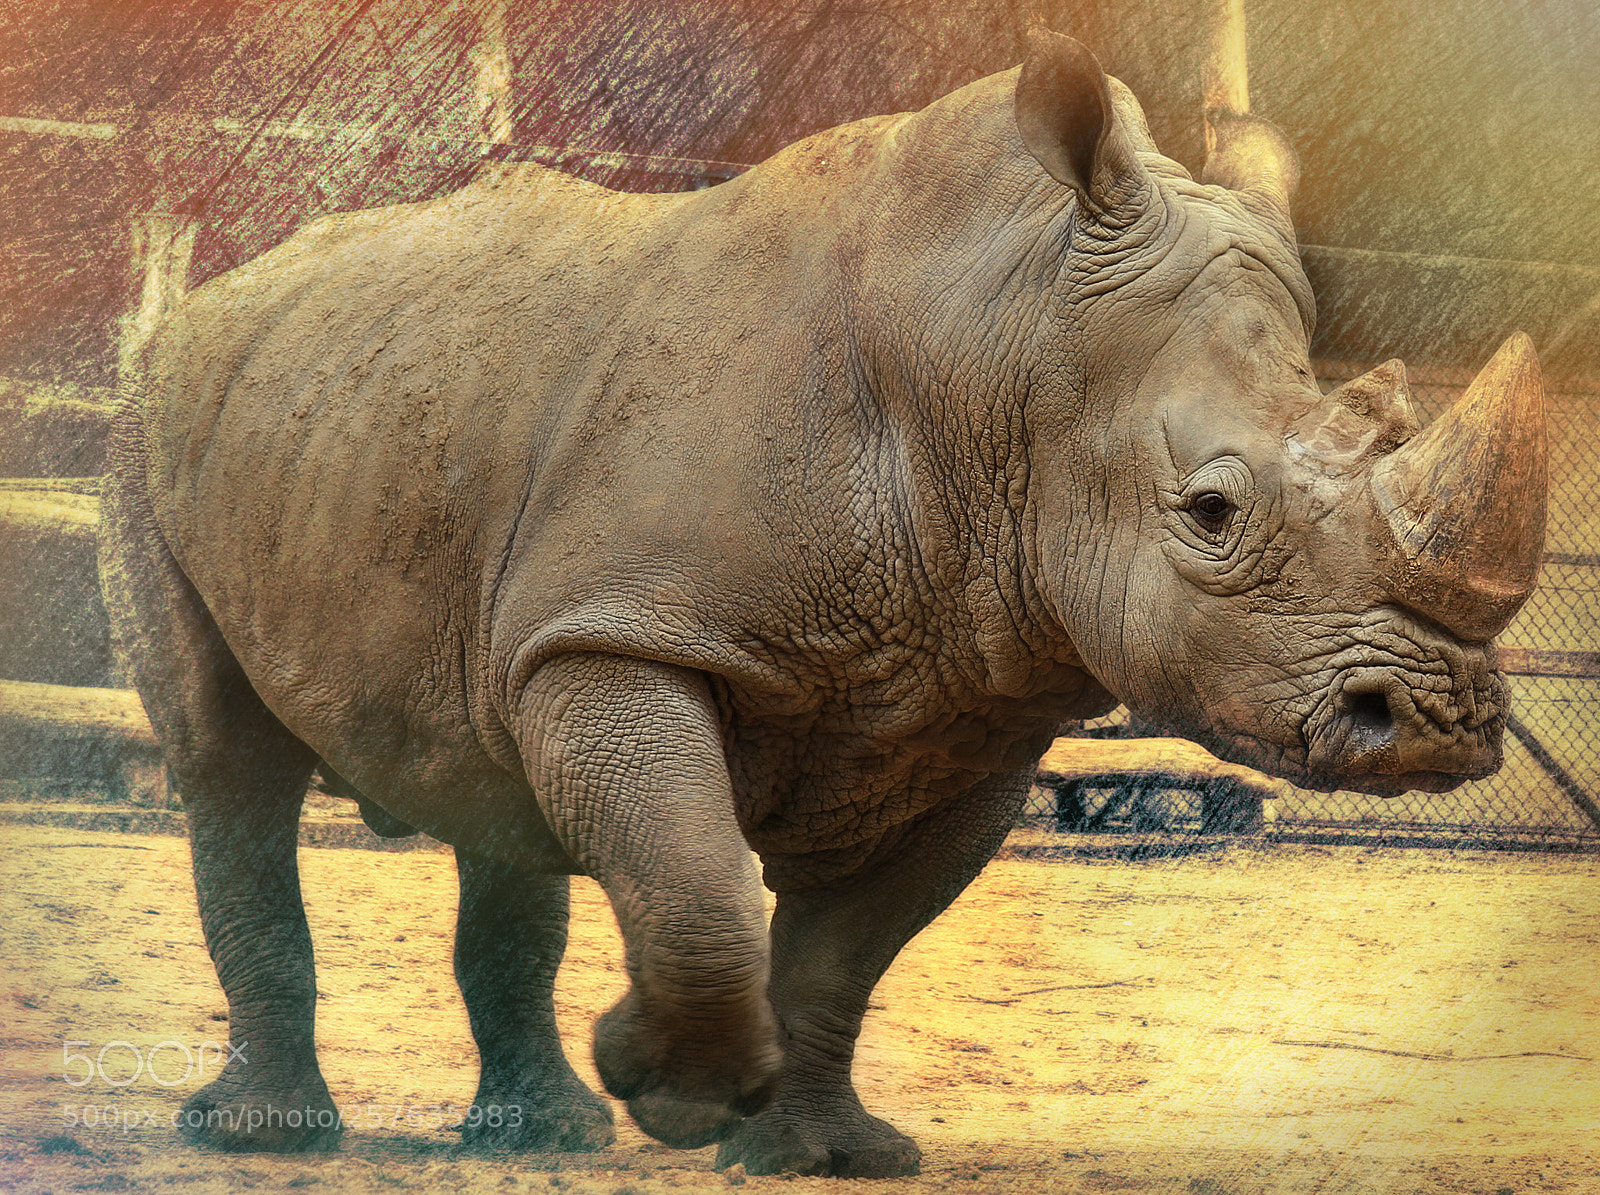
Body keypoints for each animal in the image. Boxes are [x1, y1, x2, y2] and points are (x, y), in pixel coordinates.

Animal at [100, 29, 1546, 1177]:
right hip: (157, 419)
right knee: (230, 766)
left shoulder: (978, 701)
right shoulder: (623, 630)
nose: (1436, 721)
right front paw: (669, 1092)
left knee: (483, 766)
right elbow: (695, 878)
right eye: (1209, 511)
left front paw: (815, 1154)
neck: (1001, 345)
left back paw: (540, 1134)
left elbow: (847, 950)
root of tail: (230, 284)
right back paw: (270, 1137)